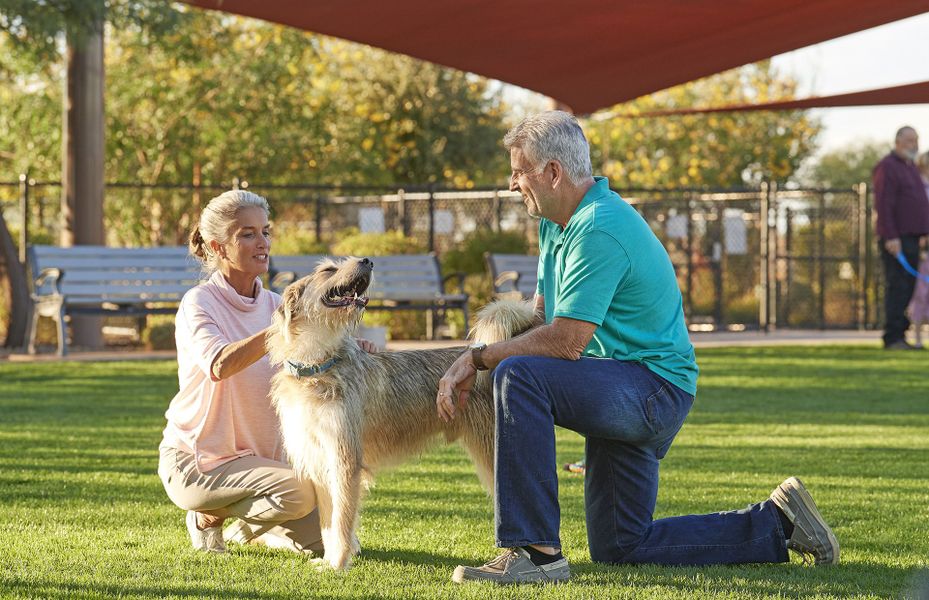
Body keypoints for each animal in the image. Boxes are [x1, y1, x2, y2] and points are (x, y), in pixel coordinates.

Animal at [264, 255, 532, 568]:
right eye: (328, 270)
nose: (367, 260)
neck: (319, 366)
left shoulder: (345, 461)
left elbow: (341, 522)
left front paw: (339, 564)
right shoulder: (319, 462)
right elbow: (328, 523)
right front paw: (329, 561)